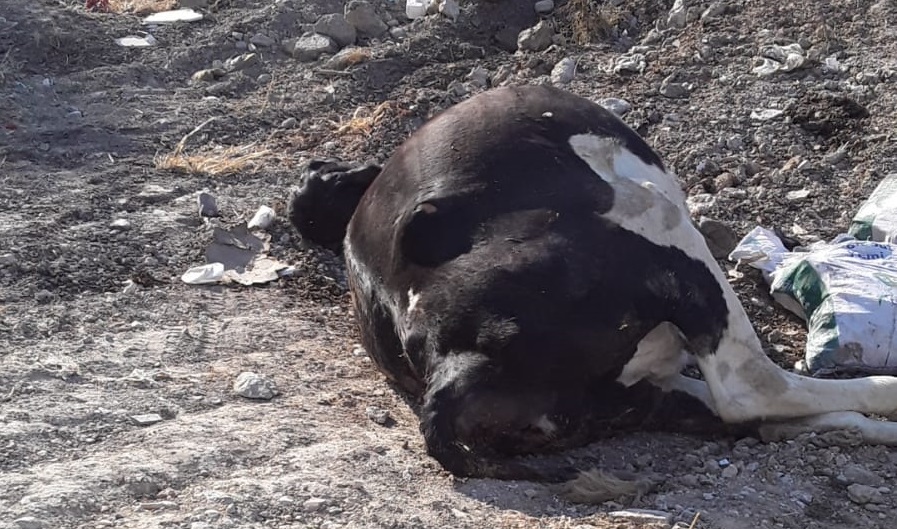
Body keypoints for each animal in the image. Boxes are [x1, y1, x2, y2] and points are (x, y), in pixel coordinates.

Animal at [288, 84, 896, 492]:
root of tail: (451, 365)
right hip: (652, 223)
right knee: (749, 389)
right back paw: (884, 394)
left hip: (629, 398)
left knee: (740, 412)